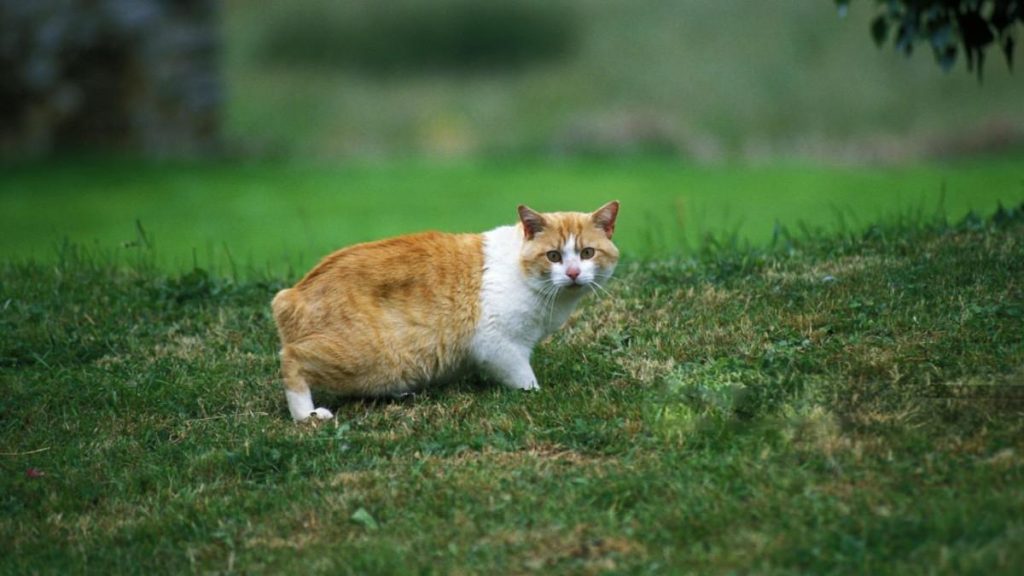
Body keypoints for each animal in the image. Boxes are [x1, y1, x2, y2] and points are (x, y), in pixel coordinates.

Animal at [272, 199, 618, 420]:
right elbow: (524, 379)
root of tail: (292, 294)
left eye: (587, 253)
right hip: (362, 357)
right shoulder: (499, 346)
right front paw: (535, 393)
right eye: (554, 256)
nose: (573, 273)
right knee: (292, 360)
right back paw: (305, 415)